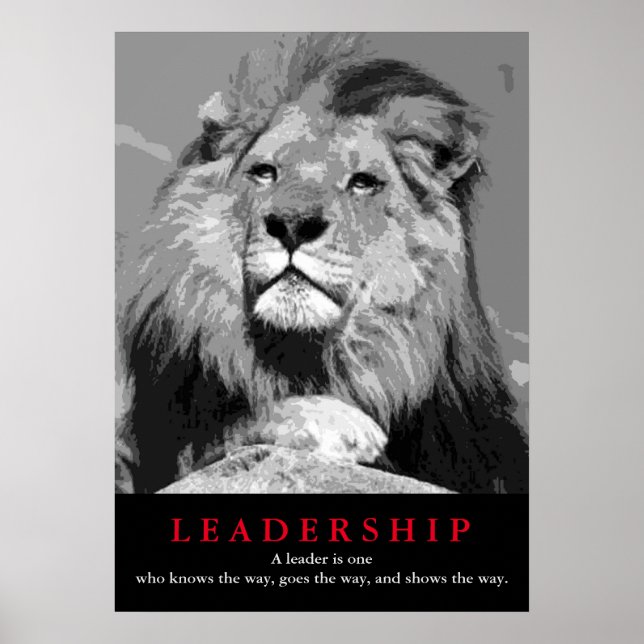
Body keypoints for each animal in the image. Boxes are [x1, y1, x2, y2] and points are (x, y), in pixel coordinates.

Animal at [116, 33, 528, 494]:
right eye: (264, 172)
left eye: (363, 182)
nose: (293, 225)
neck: (307, 354)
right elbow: (233, 428)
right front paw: (332, 421)